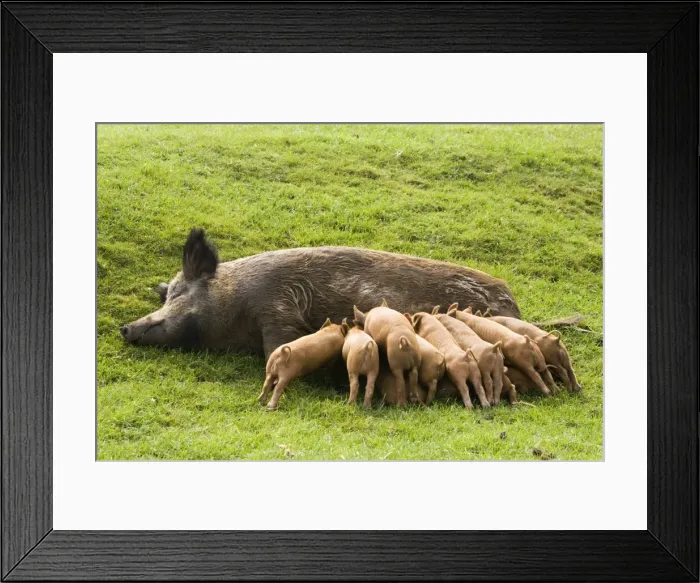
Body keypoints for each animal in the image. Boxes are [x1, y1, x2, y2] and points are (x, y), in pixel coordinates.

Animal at [120, 229, 521, 360]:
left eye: (179, 292)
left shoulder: (278, 306)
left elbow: (278, 344)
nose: (124, 327)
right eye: (167, 294)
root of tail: (513, 302)